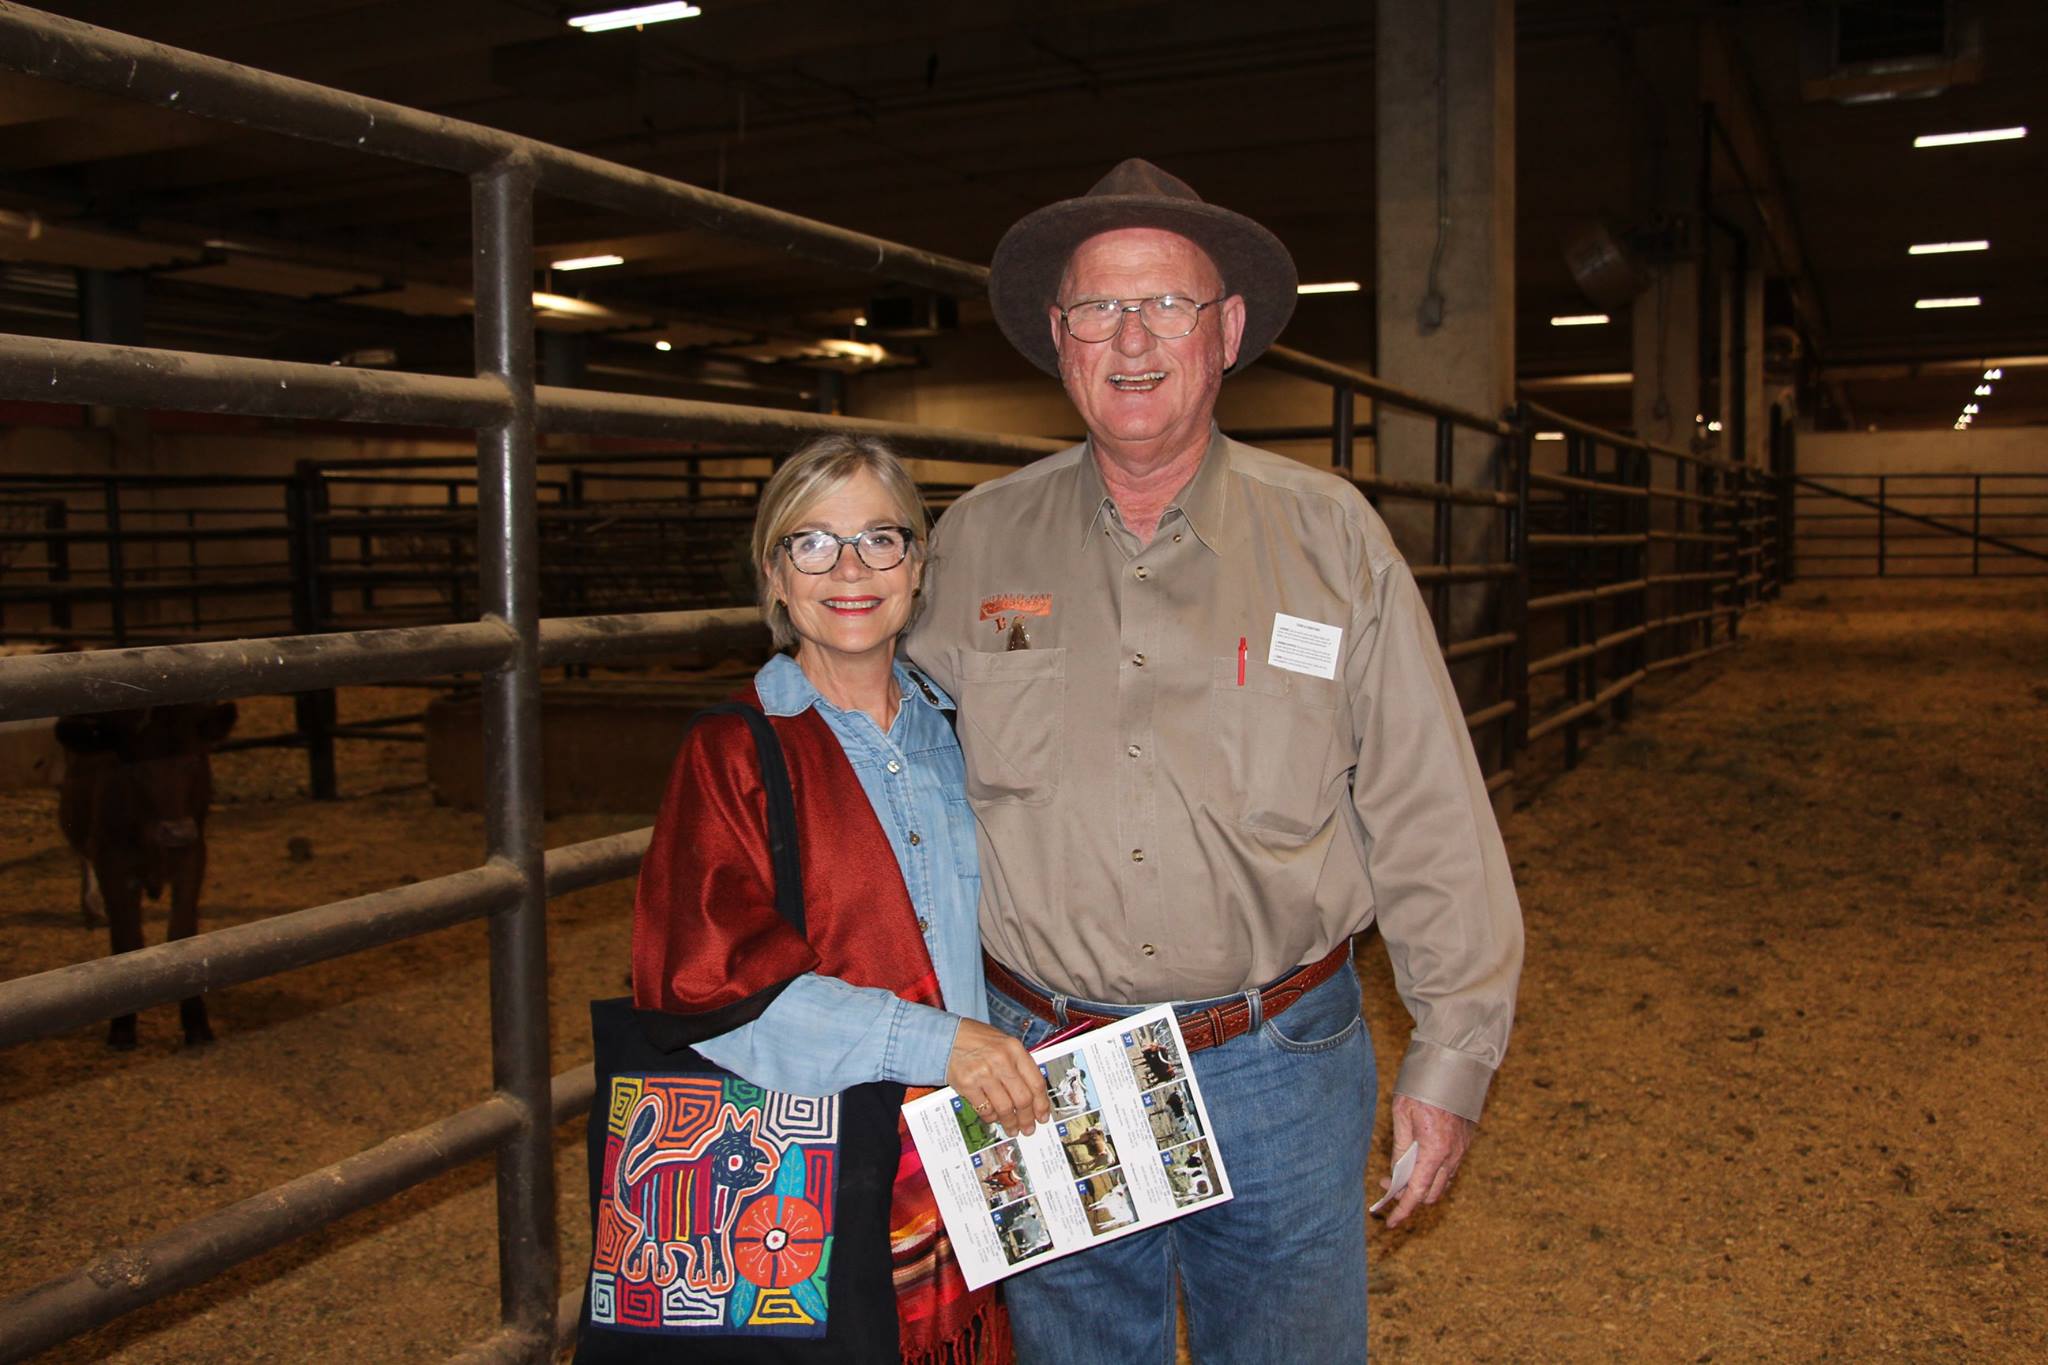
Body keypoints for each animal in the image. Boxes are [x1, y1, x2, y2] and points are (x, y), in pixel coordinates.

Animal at [56, 699, 237, 1055]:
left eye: (195, 759)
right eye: (136, 768)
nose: (177, 831)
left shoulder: (193, 855)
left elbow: (182, 932)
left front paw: (196, 1022)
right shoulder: (112, 864)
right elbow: (127, 939)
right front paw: (123, 1028)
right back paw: (91, 906)